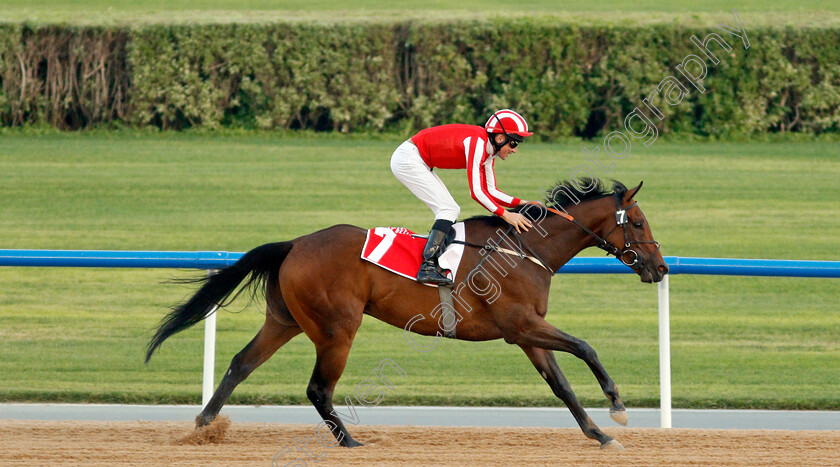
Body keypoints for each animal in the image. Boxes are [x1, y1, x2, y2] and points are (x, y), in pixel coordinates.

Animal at [144, 178, 668, 450]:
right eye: (640, 222)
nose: (661, 268)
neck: (525, 250)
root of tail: (295, 243)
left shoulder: (526, 334)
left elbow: (561, 385)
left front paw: (600, 434)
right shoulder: (520, 324)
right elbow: (586, 346)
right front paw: (617, 407)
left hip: (285, 320)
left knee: (241, 363)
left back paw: (204, 424)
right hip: (337, 327)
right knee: (317, 388)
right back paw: (349, 442)